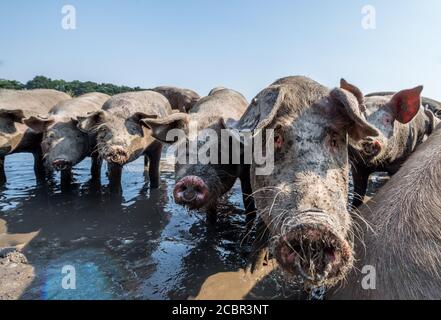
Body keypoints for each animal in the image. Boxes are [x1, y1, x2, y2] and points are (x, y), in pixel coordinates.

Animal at [144, 86, 254, 224]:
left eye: (219, 148)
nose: (191, 179)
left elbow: (249, 202)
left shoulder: (246, 170)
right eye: (184, 146)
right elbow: (210, 214)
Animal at [342, 79, 438, 208]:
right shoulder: (356, 165)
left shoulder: (400, 161)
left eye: (387, 120)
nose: (367, 140)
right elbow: (358, 192)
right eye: (357, 118)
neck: (378, 165)